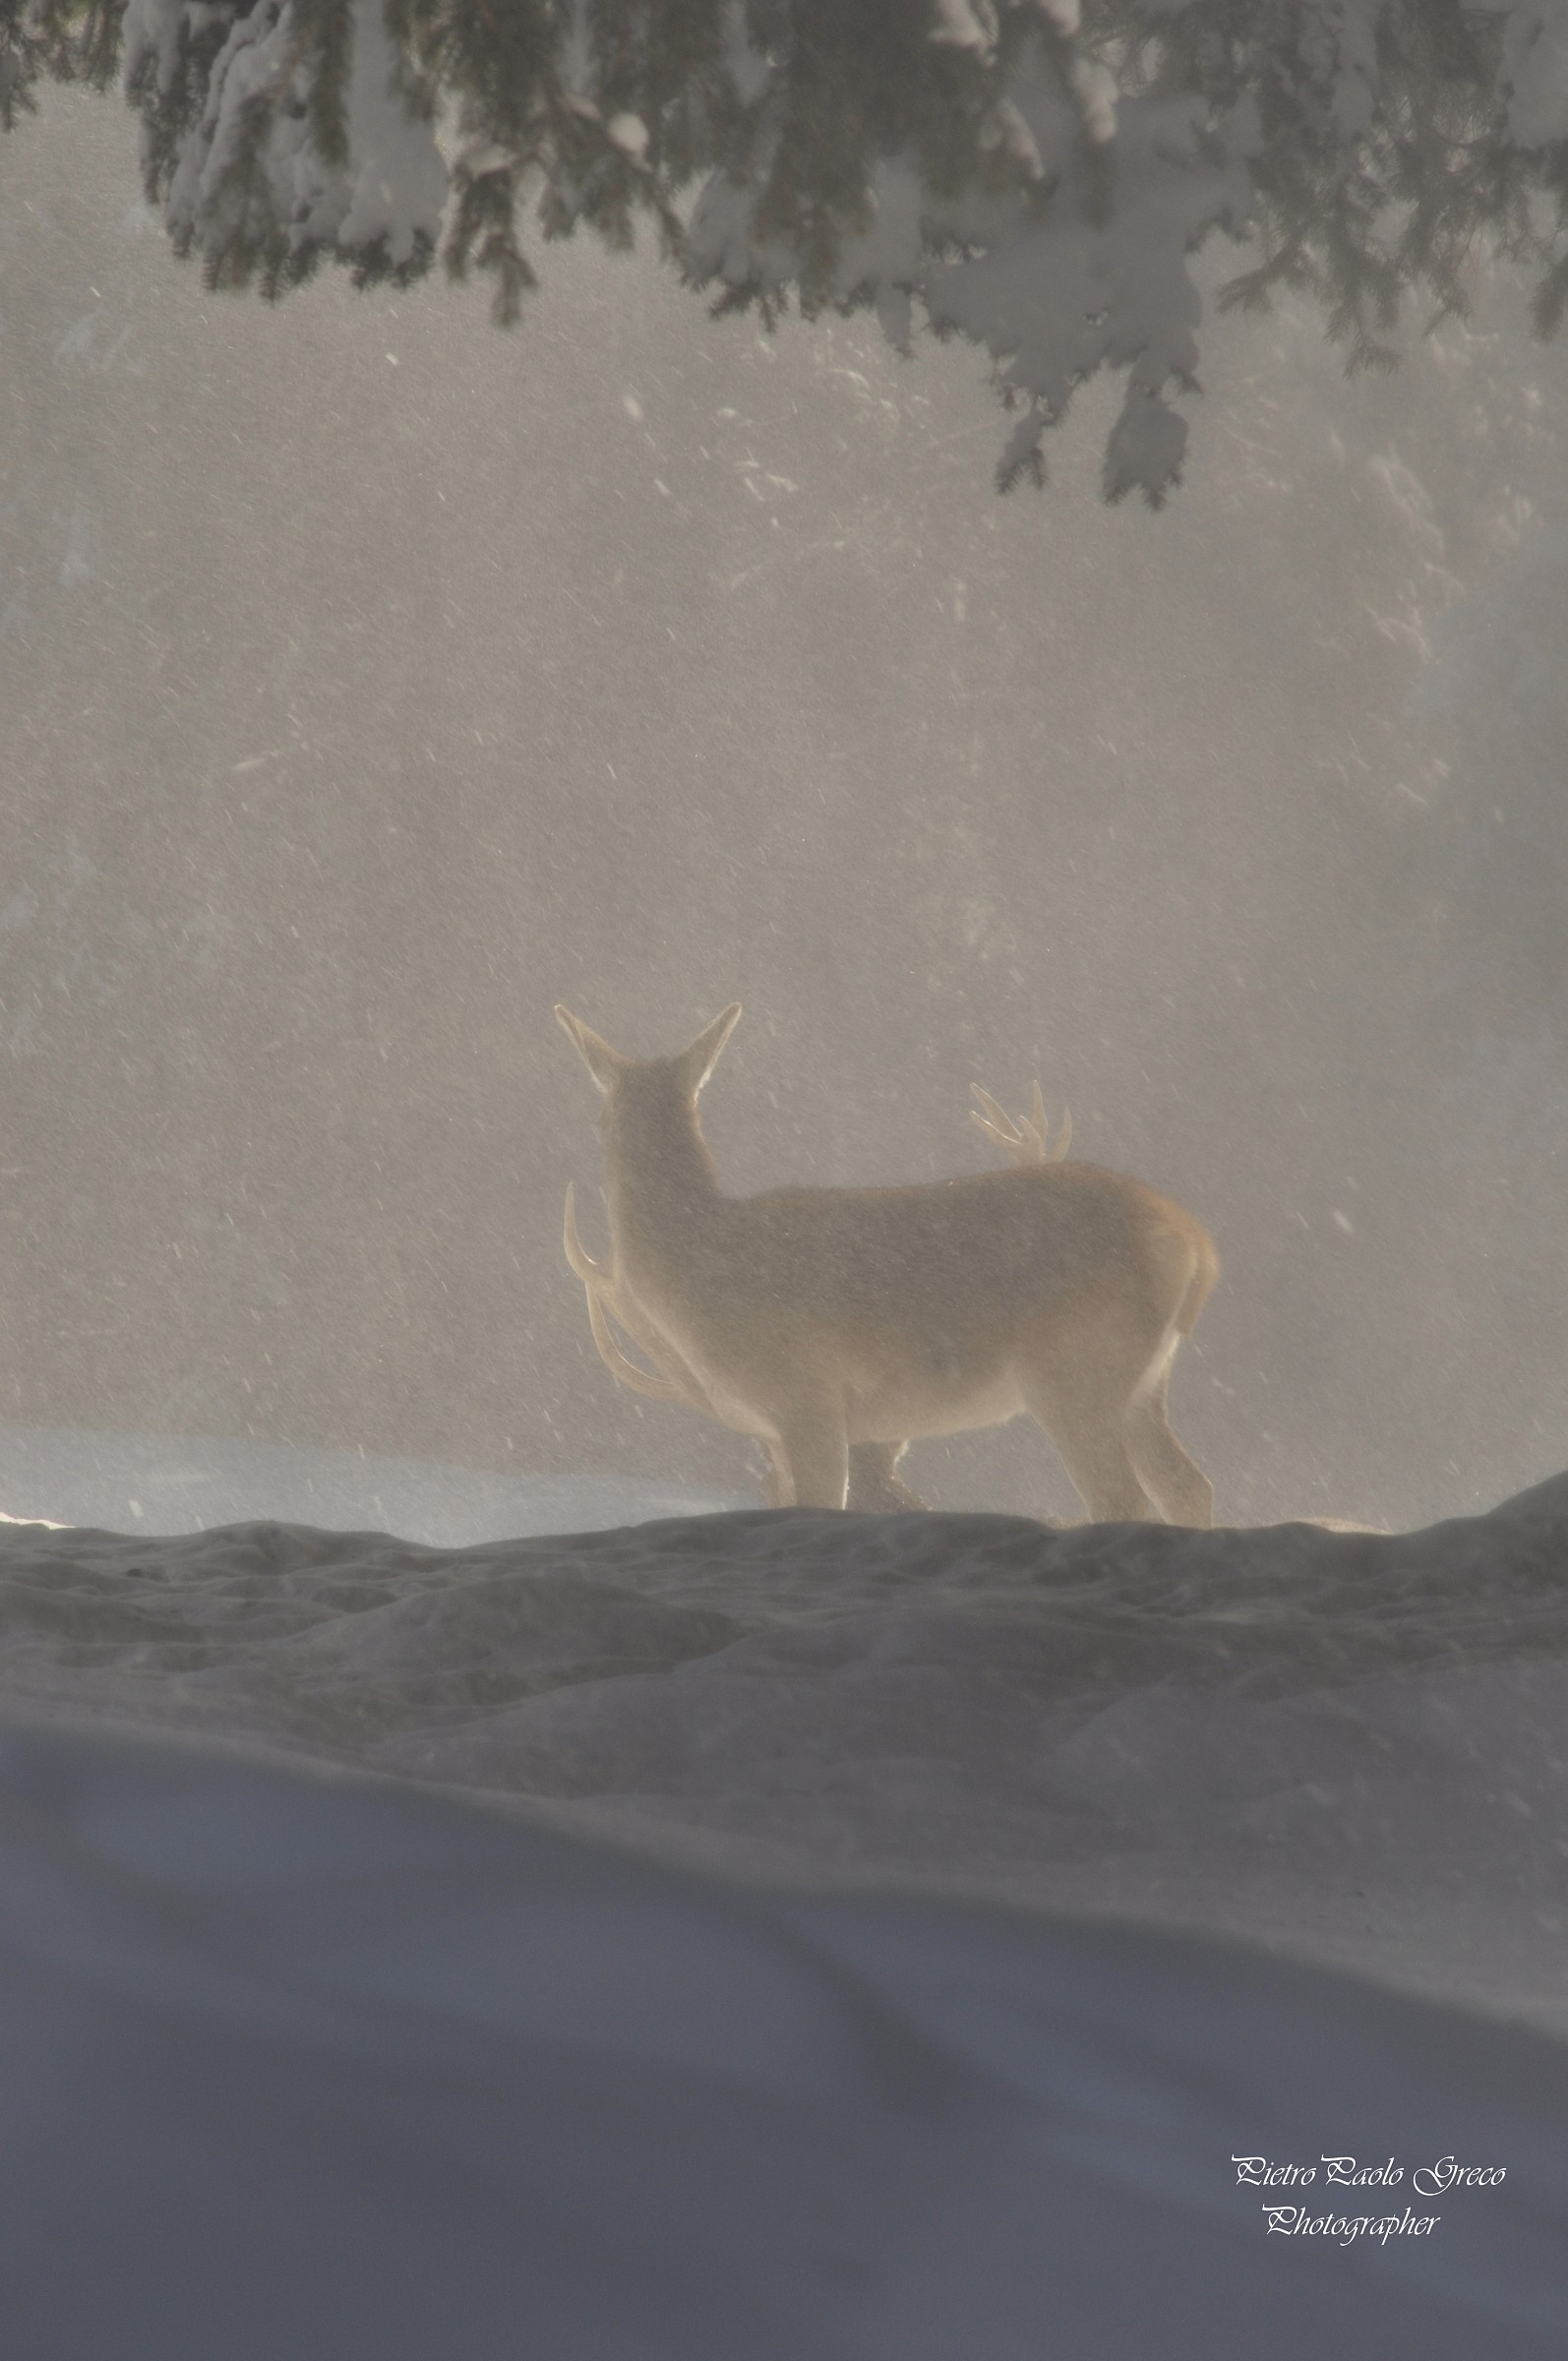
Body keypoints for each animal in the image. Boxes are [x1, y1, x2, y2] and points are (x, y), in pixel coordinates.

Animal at [556, 1003, 1217, 1523]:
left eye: (597, 1116)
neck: (701, 1267)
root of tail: (1196, 1244)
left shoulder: (807, 1397)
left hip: (1074, 1370)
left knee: (1121, 1497)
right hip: (1142, 1380)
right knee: (1187, 1486)